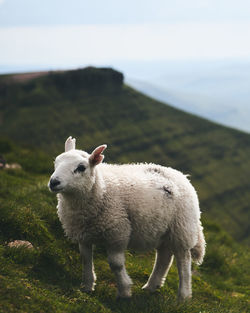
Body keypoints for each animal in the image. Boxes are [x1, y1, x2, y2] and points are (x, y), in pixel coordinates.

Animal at [48, 136, 205, 300]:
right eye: (56, 162)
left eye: (81, 168)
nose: (54, 182)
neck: (100, 188)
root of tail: (182, 176)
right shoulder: (83, 234)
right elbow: (85, 258)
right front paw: (87, 286)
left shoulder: (117, 232)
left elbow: (115, 264)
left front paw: (124, 291)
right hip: (164, 230)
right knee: (164, 256)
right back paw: (151, 286)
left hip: (182, 228)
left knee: (183, 260)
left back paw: (183, 296)